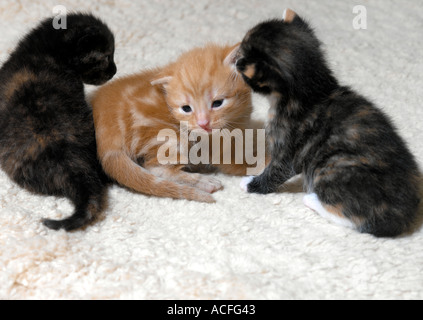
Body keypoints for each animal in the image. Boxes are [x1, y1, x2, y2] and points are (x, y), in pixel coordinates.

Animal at [91, 43, 253, 202]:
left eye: (217, 103)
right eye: (186, 108)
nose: (203, 123)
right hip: (168, 137)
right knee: (156, 168)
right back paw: (203, 181)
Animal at [238, 9, 420, 238]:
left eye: (243, 58)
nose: (235, 58)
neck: (313, 92)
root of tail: (403, 216)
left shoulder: (289, 147)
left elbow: (277, 171)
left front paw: (252, 183)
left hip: (333, 166)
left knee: (358, 220)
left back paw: (312, 200)